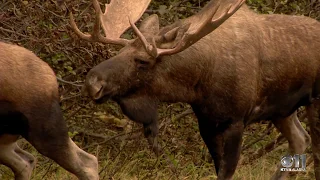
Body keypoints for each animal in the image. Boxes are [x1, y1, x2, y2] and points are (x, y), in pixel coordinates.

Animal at [70, 0, 320, 179]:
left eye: (142, 61)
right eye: (120, 52)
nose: (92, 82)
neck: (198, 82)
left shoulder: (235, 120)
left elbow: (227, 172)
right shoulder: (207, 122)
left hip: (314, 102)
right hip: (282, 110)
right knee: (301, 139)